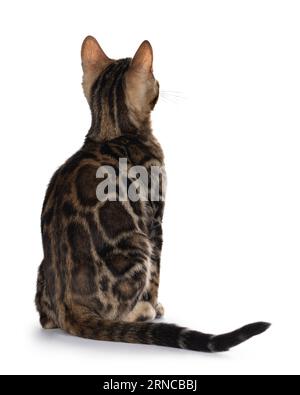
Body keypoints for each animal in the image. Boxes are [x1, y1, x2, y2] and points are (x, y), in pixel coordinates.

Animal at [34, 37, 270, 352]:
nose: (159, 83)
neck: (112, 131)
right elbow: (157, 274)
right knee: (122, 307)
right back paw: (142, 310)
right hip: (137, 244)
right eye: (155, 78)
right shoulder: (154, 218)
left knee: (44, 318)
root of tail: (68, 306)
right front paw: (155, 305)